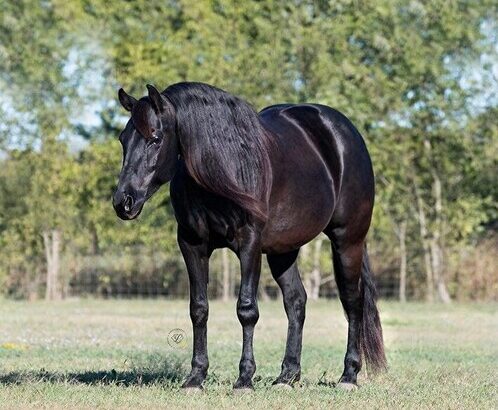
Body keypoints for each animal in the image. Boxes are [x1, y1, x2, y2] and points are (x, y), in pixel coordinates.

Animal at [113, 81, 386, 390]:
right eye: (123, 140)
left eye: (155, 138)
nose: (123, 202)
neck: (223, 168)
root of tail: (346, 132)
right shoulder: (192, 244)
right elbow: (199, 309)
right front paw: (196, 377)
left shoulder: (250, 244)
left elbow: (247, 310)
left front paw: (244, 378)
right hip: (284, 250)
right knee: (296, 302)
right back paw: (286, 376)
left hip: (347, 239)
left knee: (353, 301)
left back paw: (348, 375)